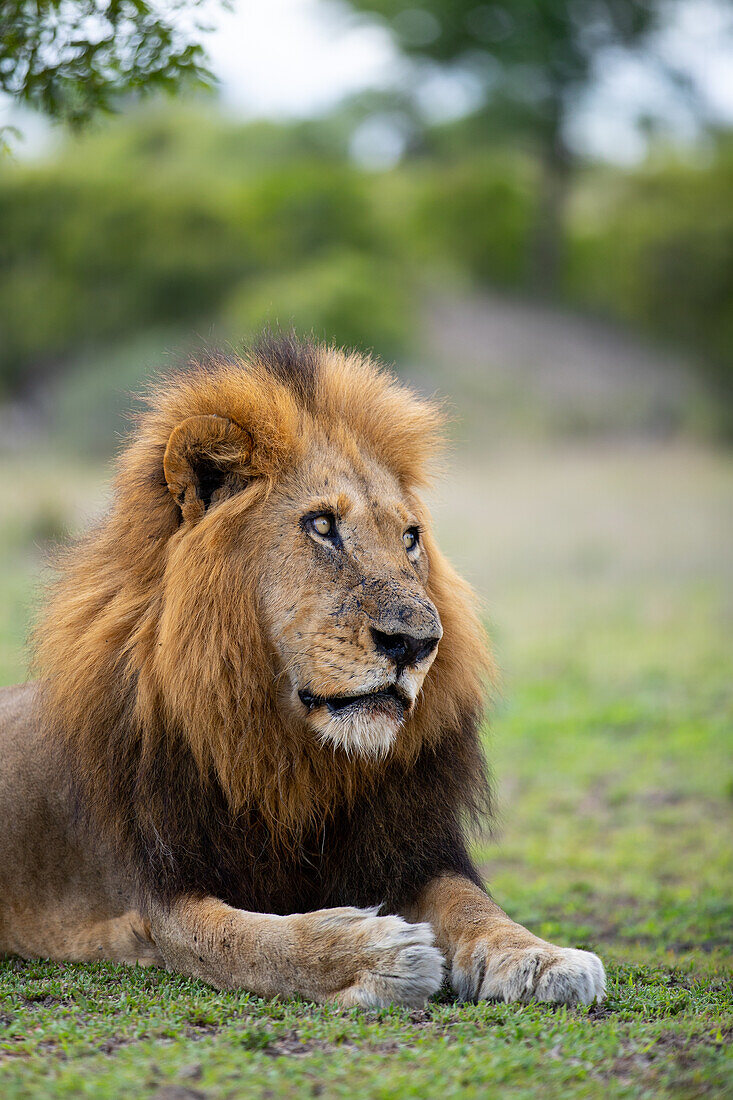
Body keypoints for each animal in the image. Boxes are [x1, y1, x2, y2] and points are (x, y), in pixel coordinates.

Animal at [0, 338, 603, 1007]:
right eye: (321, 525)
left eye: (410, 537)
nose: (418, 642)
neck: (289, 756)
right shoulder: (162, 899)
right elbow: (252, 940)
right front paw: (374, 952)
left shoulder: (404, 849)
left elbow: (473, 905)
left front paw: (542, 957)